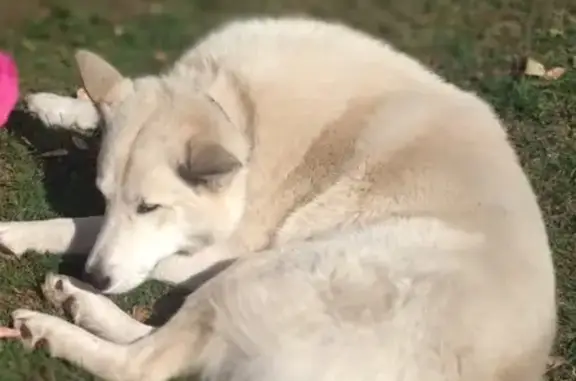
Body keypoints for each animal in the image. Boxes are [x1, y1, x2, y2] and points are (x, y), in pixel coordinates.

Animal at [0, 15, 560, 380]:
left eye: (149, 208)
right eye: (107, 194)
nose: (96, 276)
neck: (240, 109)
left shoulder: (216, 252)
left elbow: (87, 229)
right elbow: (88, 211)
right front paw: (57, 108)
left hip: (255, 274)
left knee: (143, 365)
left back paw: (63, 318)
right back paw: (76, 300)